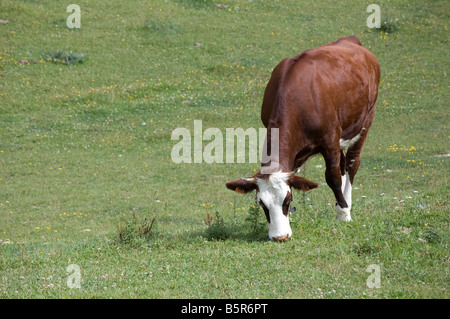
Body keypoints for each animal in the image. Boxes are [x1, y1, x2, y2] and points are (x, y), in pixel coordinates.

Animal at [225, 36, 380, 242]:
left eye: (288, 199)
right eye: (262, 204)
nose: (280, 237)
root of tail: (351, 40)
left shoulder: (330, 139)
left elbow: (332, 177)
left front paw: (343, 213)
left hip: (366, 119)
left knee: (352, 162)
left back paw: (346, 203)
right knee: (343, 162)